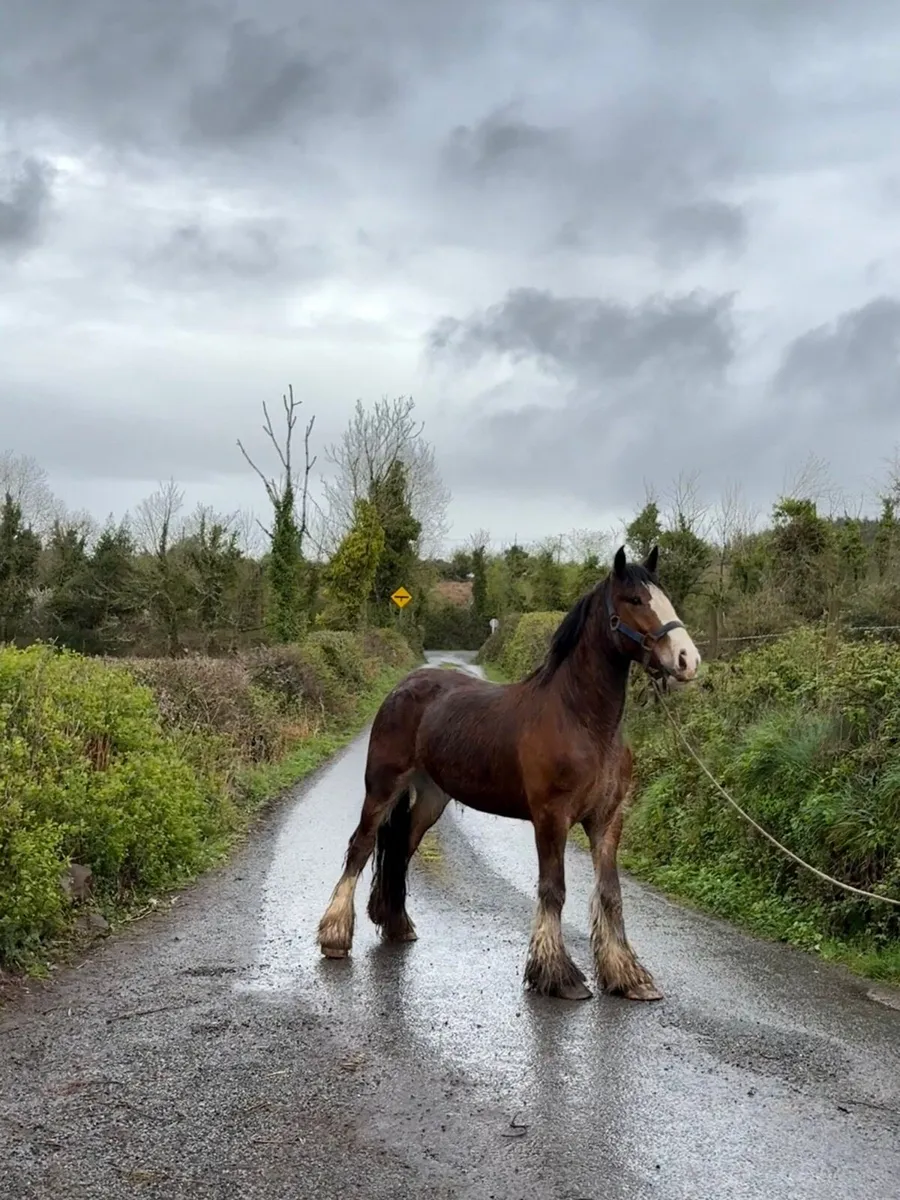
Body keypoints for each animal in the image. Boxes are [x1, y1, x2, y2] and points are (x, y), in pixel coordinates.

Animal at [316, 544, 701, 1002]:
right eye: (635, 600)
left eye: (664, 597)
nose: (687, 659)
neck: (584, 722)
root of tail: (402, 687)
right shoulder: (551, 819)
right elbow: (553, 890)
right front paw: (557, 975)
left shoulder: (607, 820)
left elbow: (610, 894)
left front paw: (627, 975)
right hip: (383, 786)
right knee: (360, 848)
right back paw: (335, 937)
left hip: (431, 797)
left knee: (402, 850)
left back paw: (396, 924)